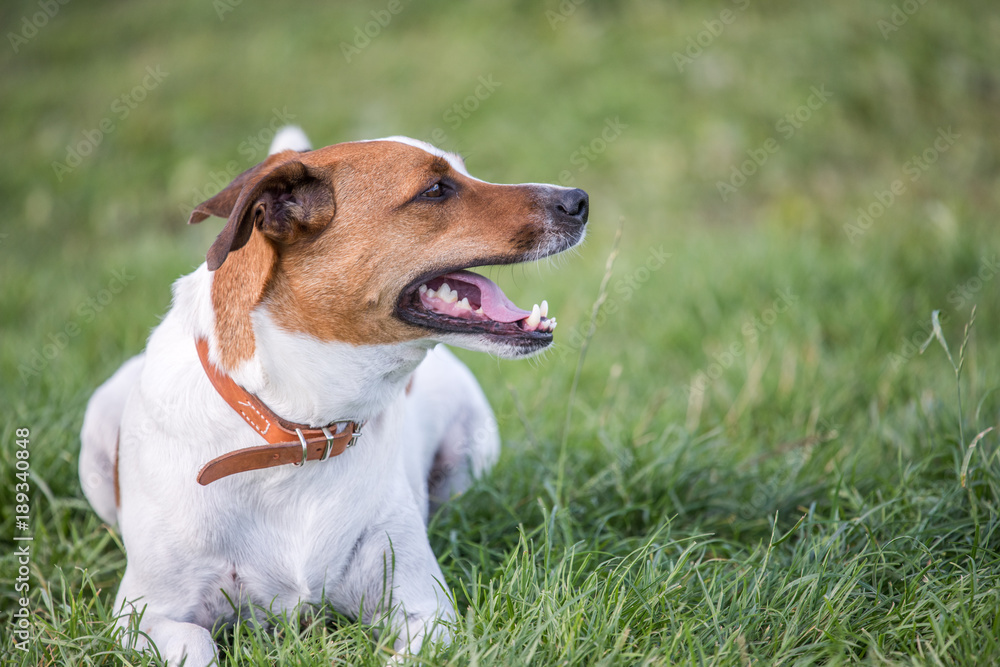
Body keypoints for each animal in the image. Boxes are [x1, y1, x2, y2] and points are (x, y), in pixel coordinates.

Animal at [82, 125, 588, 664]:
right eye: (435, 189)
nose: (579, 200)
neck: (302, 431)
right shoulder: (143, 615)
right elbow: (197, 641)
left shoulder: (425, 610)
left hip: (470, 454)